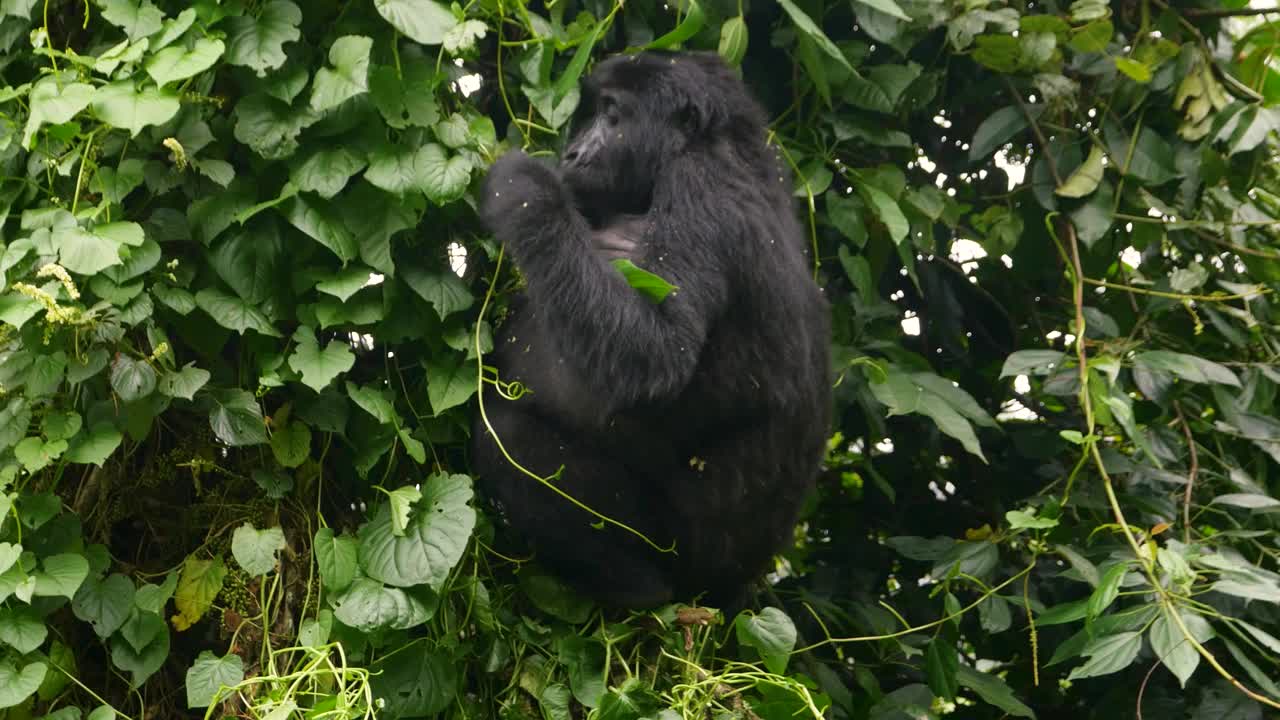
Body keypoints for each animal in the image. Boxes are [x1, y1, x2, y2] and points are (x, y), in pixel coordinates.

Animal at [473, 50, 829, 607]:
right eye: (594, 115)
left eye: (612, 115)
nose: (574, 153)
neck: (723, 143)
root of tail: (730, 587)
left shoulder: (700, 190)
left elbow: (655, 355)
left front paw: (527, 190)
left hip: (679, 554)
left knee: (507, 435)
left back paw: (637, 592)